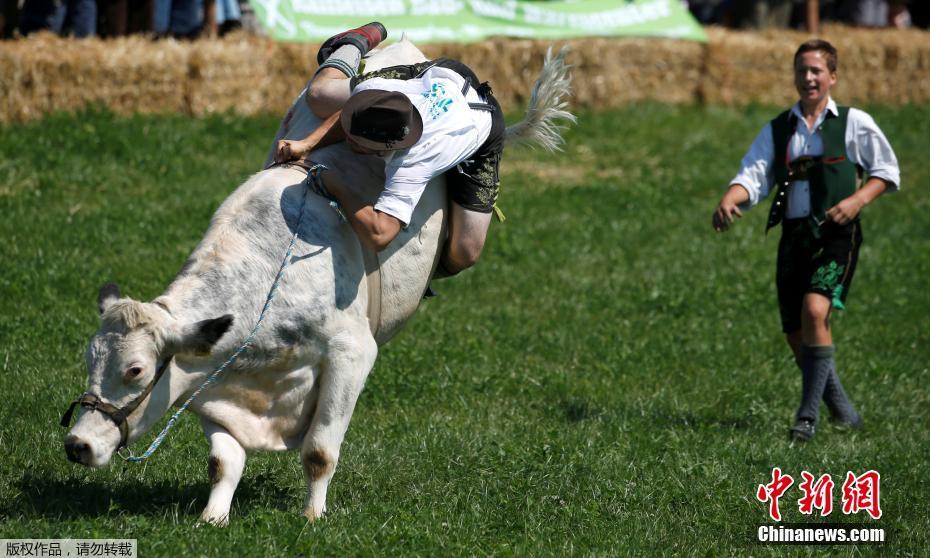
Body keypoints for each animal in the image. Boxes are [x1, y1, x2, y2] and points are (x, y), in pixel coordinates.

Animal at [59, 39, 572, 524]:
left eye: (136, 370)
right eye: (89, 358)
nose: (77, 444)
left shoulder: (351, 355)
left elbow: (320, 452)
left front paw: (313, 516)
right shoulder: (214, 381)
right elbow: (224, 462)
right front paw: (213, 517)